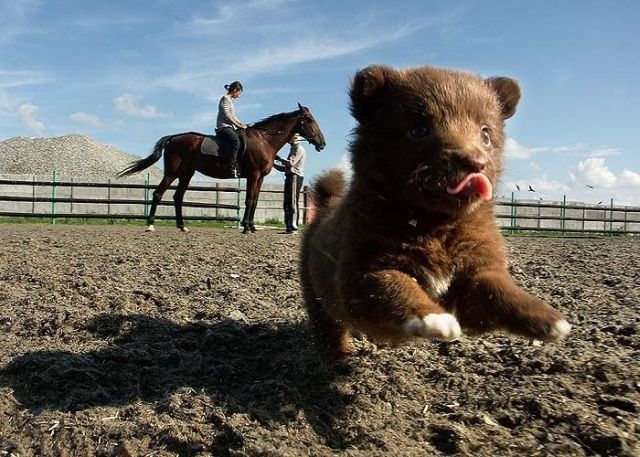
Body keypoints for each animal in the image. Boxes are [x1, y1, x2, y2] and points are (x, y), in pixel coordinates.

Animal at [116, 103, 324, 232]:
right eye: (310, 120)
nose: (323, 143)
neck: (264, 140)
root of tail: (174, 137)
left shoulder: (260, 178)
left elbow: (255, 201)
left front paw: (251, 227)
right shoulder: (253, 175)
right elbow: (249, 200)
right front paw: (246, 227)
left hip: (186, 173)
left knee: (178, 197)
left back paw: (182, 226)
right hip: (172, 172)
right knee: (159, 193)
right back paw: (150, 225)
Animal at [302, 63, 572, 356]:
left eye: (485, 133)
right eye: (419, 129)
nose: (475, 162)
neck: (435, 223)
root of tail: (326, 204)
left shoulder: (476, 267)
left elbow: (497, 288)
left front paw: (548, 318)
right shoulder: (360, 272)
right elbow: (395, 283)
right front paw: (433, 317)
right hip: (316, 291)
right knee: (329, 326)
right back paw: (340, 352)